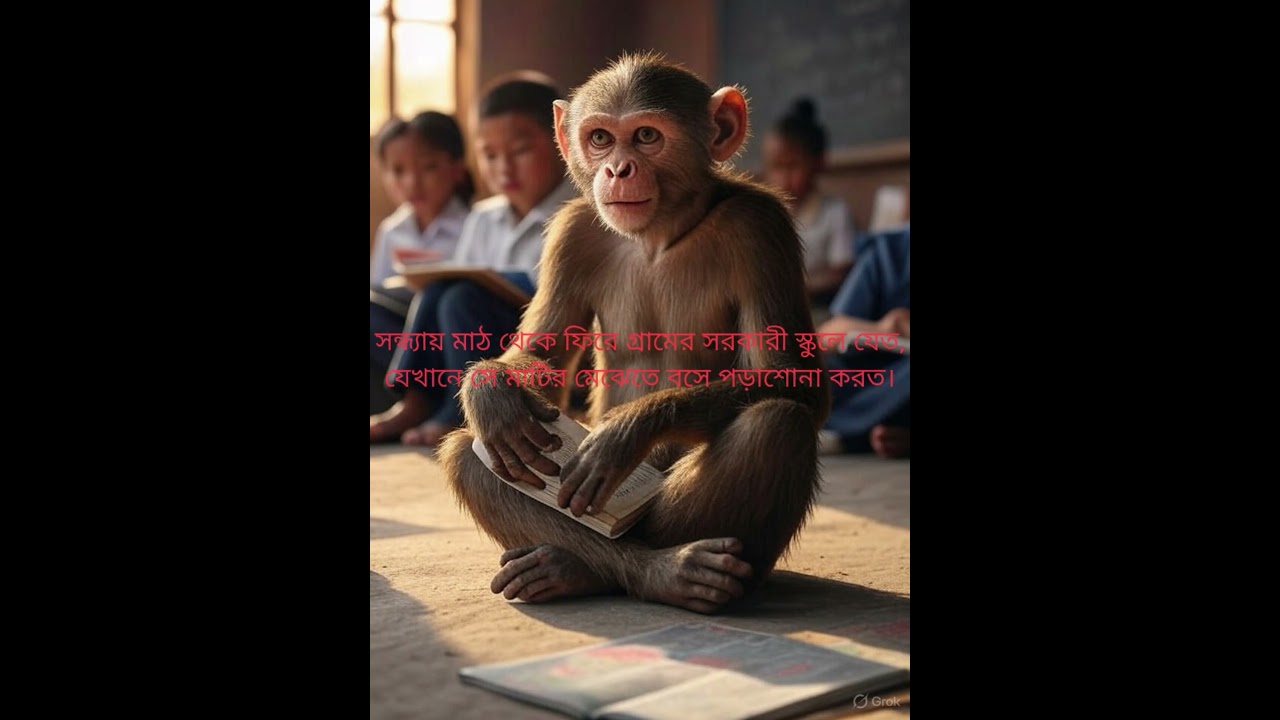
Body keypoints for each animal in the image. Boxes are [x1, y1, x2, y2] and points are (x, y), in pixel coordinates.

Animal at [437, 52, 832, 614]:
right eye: (601, 138)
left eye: (646, 135)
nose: (617, 169)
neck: (663, 232)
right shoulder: (572, 233)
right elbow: (541, 356)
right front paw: (491, 391)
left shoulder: (761, 228)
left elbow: (792, 376)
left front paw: (626, 432)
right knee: (473, 455)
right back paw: (577, 567)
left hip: (659, 519)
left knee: (776, 425)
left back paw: (663, 573)